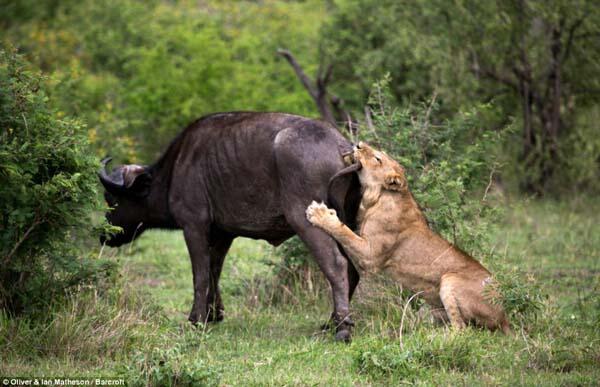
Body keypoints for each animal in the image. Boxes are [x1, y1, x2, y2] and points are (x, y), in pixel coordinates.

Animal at [99, 112, 360, 342]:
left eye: (111, 198)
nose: (105, 236)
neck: (175, 170)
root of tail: (342, 146)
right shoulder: (223, 234)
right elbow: (214, 269)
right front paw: (214, 313)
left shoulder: (194, 226)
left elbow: (200, 275)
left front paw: (197, 319)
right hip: (348, 221)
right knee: (353, 268)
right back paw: (332, 321)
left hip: (306, 220)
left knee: (336, 265)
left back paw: (342, 330)